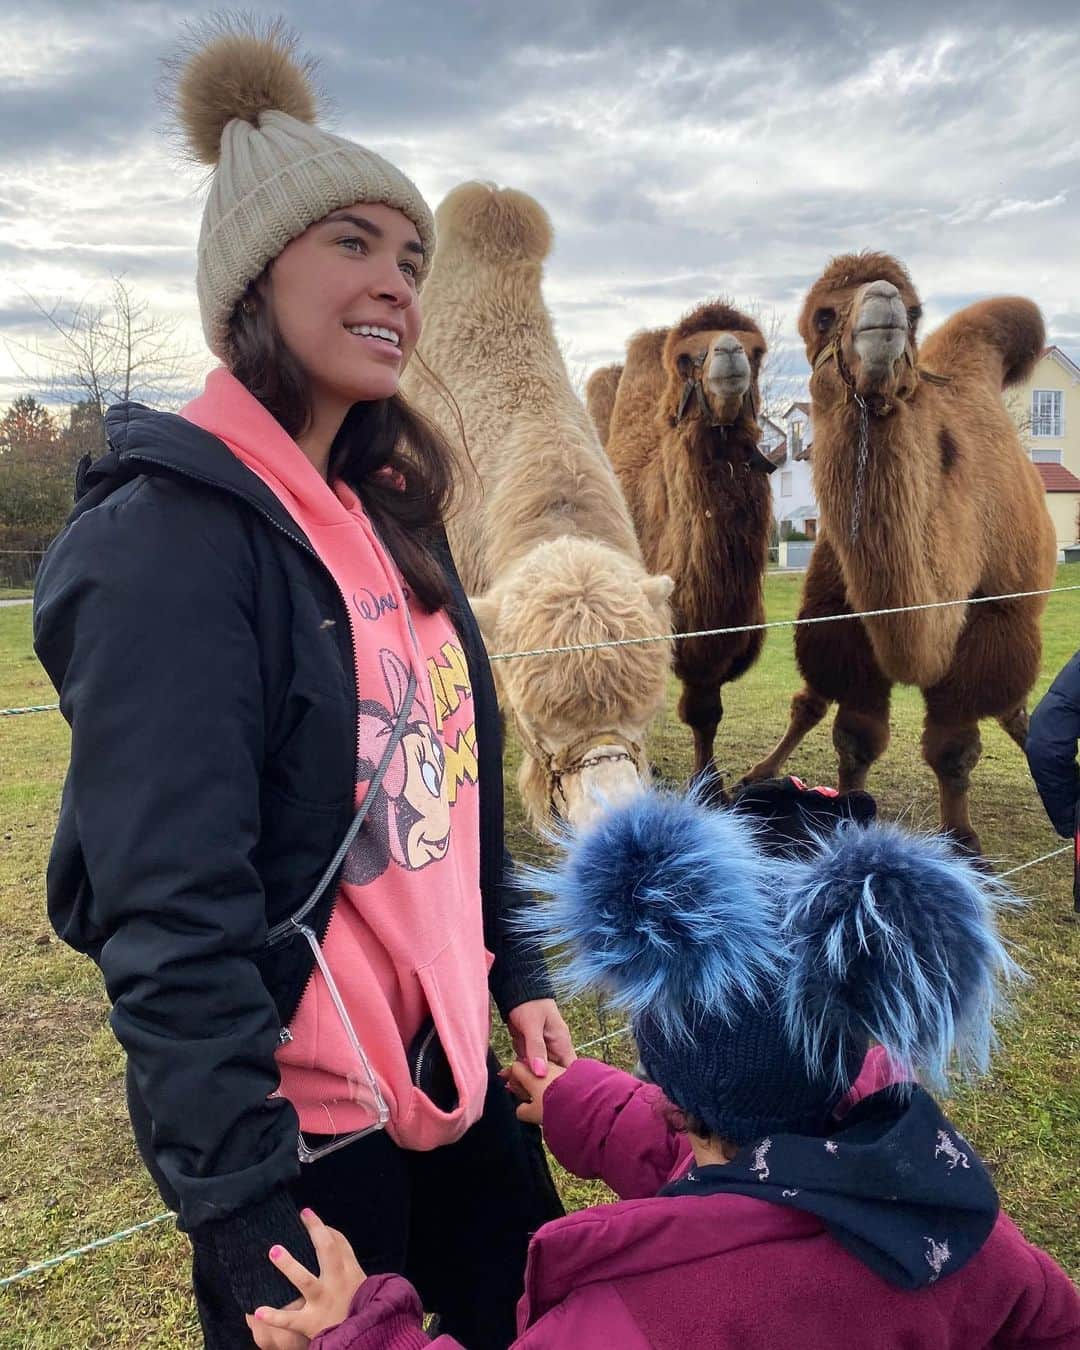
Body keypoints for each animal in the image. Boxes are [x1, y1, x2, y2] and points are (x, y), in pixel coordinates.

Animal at [607, 299, 777, 777]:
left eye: (757, 352)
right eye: (686, 360)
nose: (730, 351)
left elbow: (708, 713)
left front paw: (712, 783)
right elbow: (698, 711)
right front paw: (707, 783)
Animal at [745, 251, 1058, 853]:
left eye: (914, 313)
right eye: (822, 315)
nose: (883, 303)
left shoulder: (990, 626)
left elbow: (954, 750)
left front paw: (962, 842)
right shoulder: (842, 629)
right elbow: (855, 738)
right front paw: (841, 812)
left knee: (1011, 710)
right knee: (809, 702)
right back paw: (759, 771)